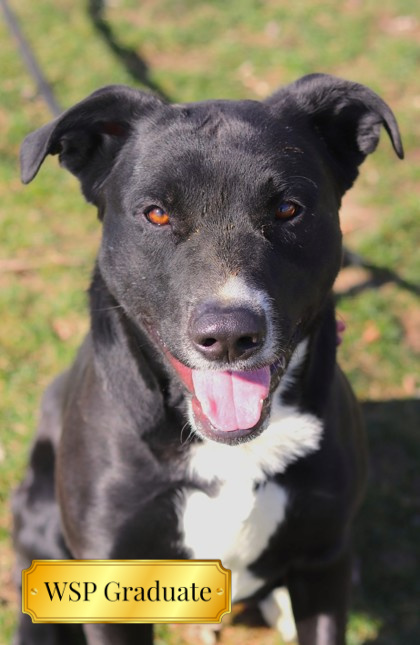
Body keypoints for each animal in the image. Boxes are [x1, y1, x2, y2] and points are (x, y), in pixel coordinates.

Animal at [13, 73, 404, 640]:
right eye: (156, 213)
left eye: (289, 209)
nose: (229, 336)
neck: (229, 449)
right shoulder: (108, 583)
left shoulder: (325, 561)